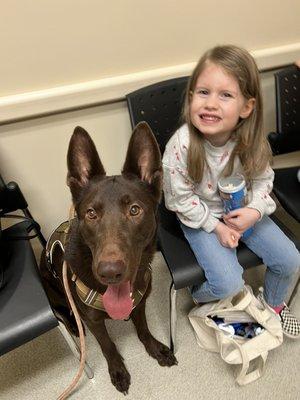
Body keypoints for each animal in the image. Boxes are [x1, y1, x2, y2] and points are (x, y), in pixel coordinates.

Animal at [39, 122, 176, 394]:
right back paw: (73, 323)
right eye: (91, 213)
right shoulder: (94, 322)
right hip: (55, 294)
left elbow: (143, 329)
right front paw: (118, 370)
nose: (110, 273)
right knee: (66, 313)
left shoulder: (139, 304)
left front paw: (155, 349)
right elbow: (108, 345)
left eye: (134, 210)